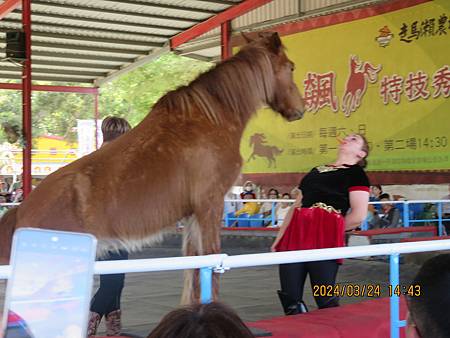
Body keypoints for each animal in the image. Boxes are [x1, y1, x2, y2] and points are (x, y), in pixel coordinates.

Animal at [0, 32, 306, 304]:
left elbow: (193, 267)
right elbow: (211, 261)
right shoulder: (210, 205)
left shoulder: (192, 215)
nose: (300, 110)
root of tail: (22, 211)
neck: (209, 119)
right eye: (291, 67)